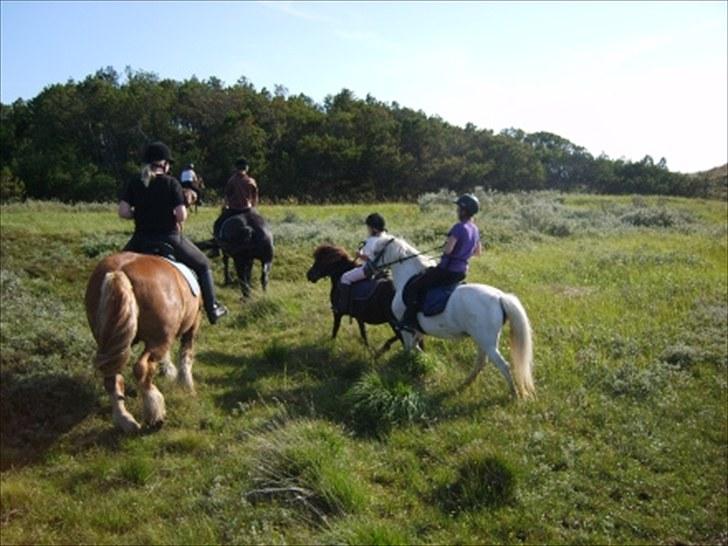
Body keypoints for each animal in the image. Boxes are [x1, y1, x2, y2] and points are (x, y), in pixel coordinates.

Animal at [85, 250, 202, 430]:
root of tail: (118, 272)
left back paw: (125, 420)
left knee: (112, 376)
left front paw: (169, 371)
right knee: (143, 368)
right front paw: (186, 385)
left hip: (110, 341)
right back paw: (155, 414)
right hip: (158, 339)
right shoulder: (194, 322)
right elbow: (186, 353)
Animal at [370, 236, 536, 398]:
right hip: (483, 339)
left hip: (487, 341)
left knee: (502, 366)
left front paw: (407, 364)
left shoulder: (405, 328)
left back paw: (514, 394)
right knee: (481, 362)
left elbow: (409, 347)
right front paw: (424, 360)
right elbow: (415, 346)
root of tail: (500, 297)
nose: (368, 269)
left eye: (376, 252)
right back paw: (466, 383)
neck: (407, 278)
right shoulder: (416, 330)